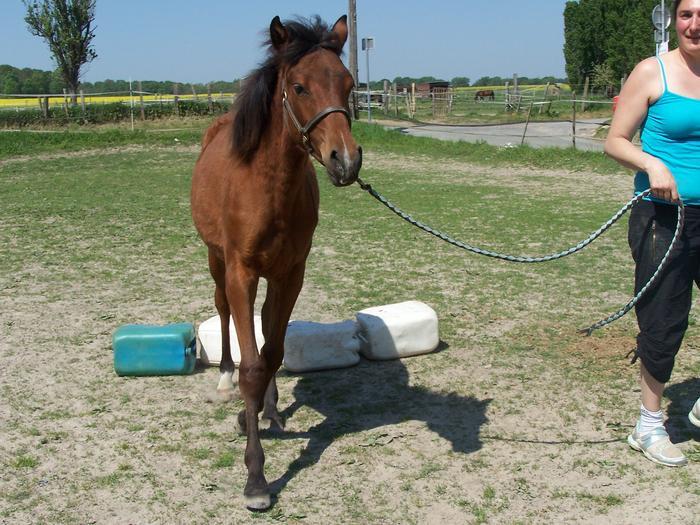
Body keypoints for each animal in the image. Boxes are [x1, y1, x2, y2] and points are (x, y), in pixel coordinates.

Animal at [191, 15, 364, 508]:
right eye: (300, 87)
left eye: (348, 84)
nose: (345, 161)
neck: (269, 188)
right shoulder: (241, 272)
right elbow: (252, 363)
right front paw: (256, 478)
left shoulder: (292, 273)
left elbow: (273, 351)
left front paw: (259, 415)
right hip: (216, 261)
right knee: (224, 313)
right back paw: (225, 380)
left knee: (269, 329)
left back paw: (268, 409)